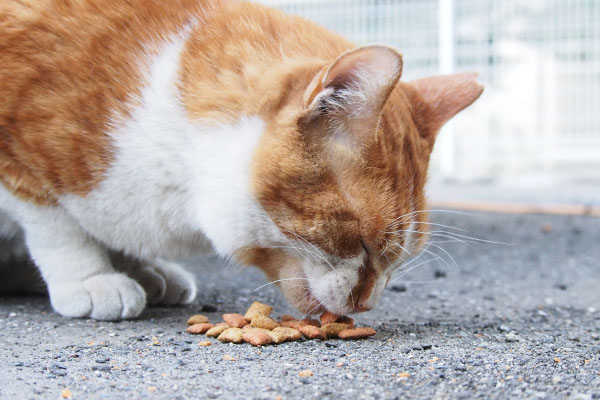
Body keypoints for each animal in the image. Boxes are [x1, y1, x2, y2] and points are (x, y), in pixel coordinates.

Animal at [0, 0, 482, 318]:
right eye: (362, 243)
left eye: (398, 259)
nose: (365, 305)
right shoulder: (17, 163)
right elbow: (57, 225)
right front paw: (89, 276)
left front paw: (140, 267)